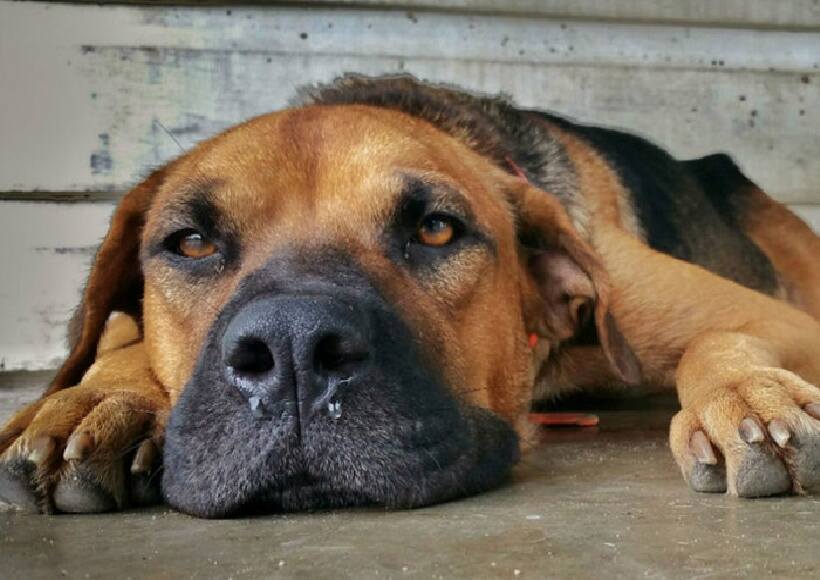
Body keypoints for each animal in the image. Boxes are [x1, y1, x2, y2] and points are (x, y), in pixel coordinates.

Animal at [1, 73, 820, 516]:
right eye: (192, 243)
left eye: (435, 229)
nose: (294, 351)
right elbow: (117, 338)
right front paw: (95, 398)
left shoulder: (778, 319)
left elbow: (720, 337)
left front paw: (748, 397)